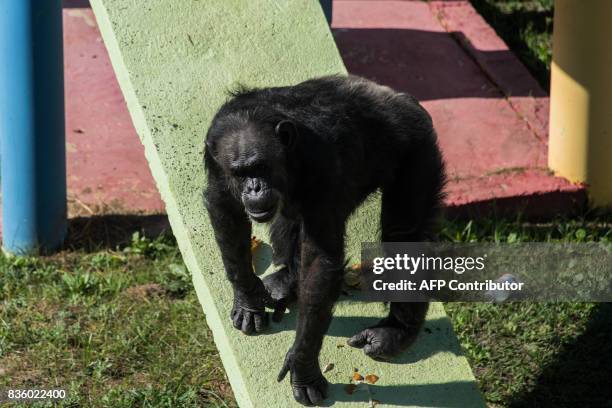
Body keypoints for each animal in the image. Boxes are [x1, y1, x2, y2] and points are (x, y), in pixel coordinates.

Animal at [203, 75, 448, 404]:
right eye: (240, 172)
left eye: (261, 167)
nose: (254, 188)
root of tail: (395, 95)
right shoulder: (216, 161)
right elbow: (226, 210)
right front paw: (248, 300)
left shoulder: (322, 165)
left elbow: (321, 262)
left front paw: (302, 364)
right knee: (289, 219)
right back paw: (287, 281)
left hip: (418, 149)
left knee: (405, 236)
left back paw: (395, 333)